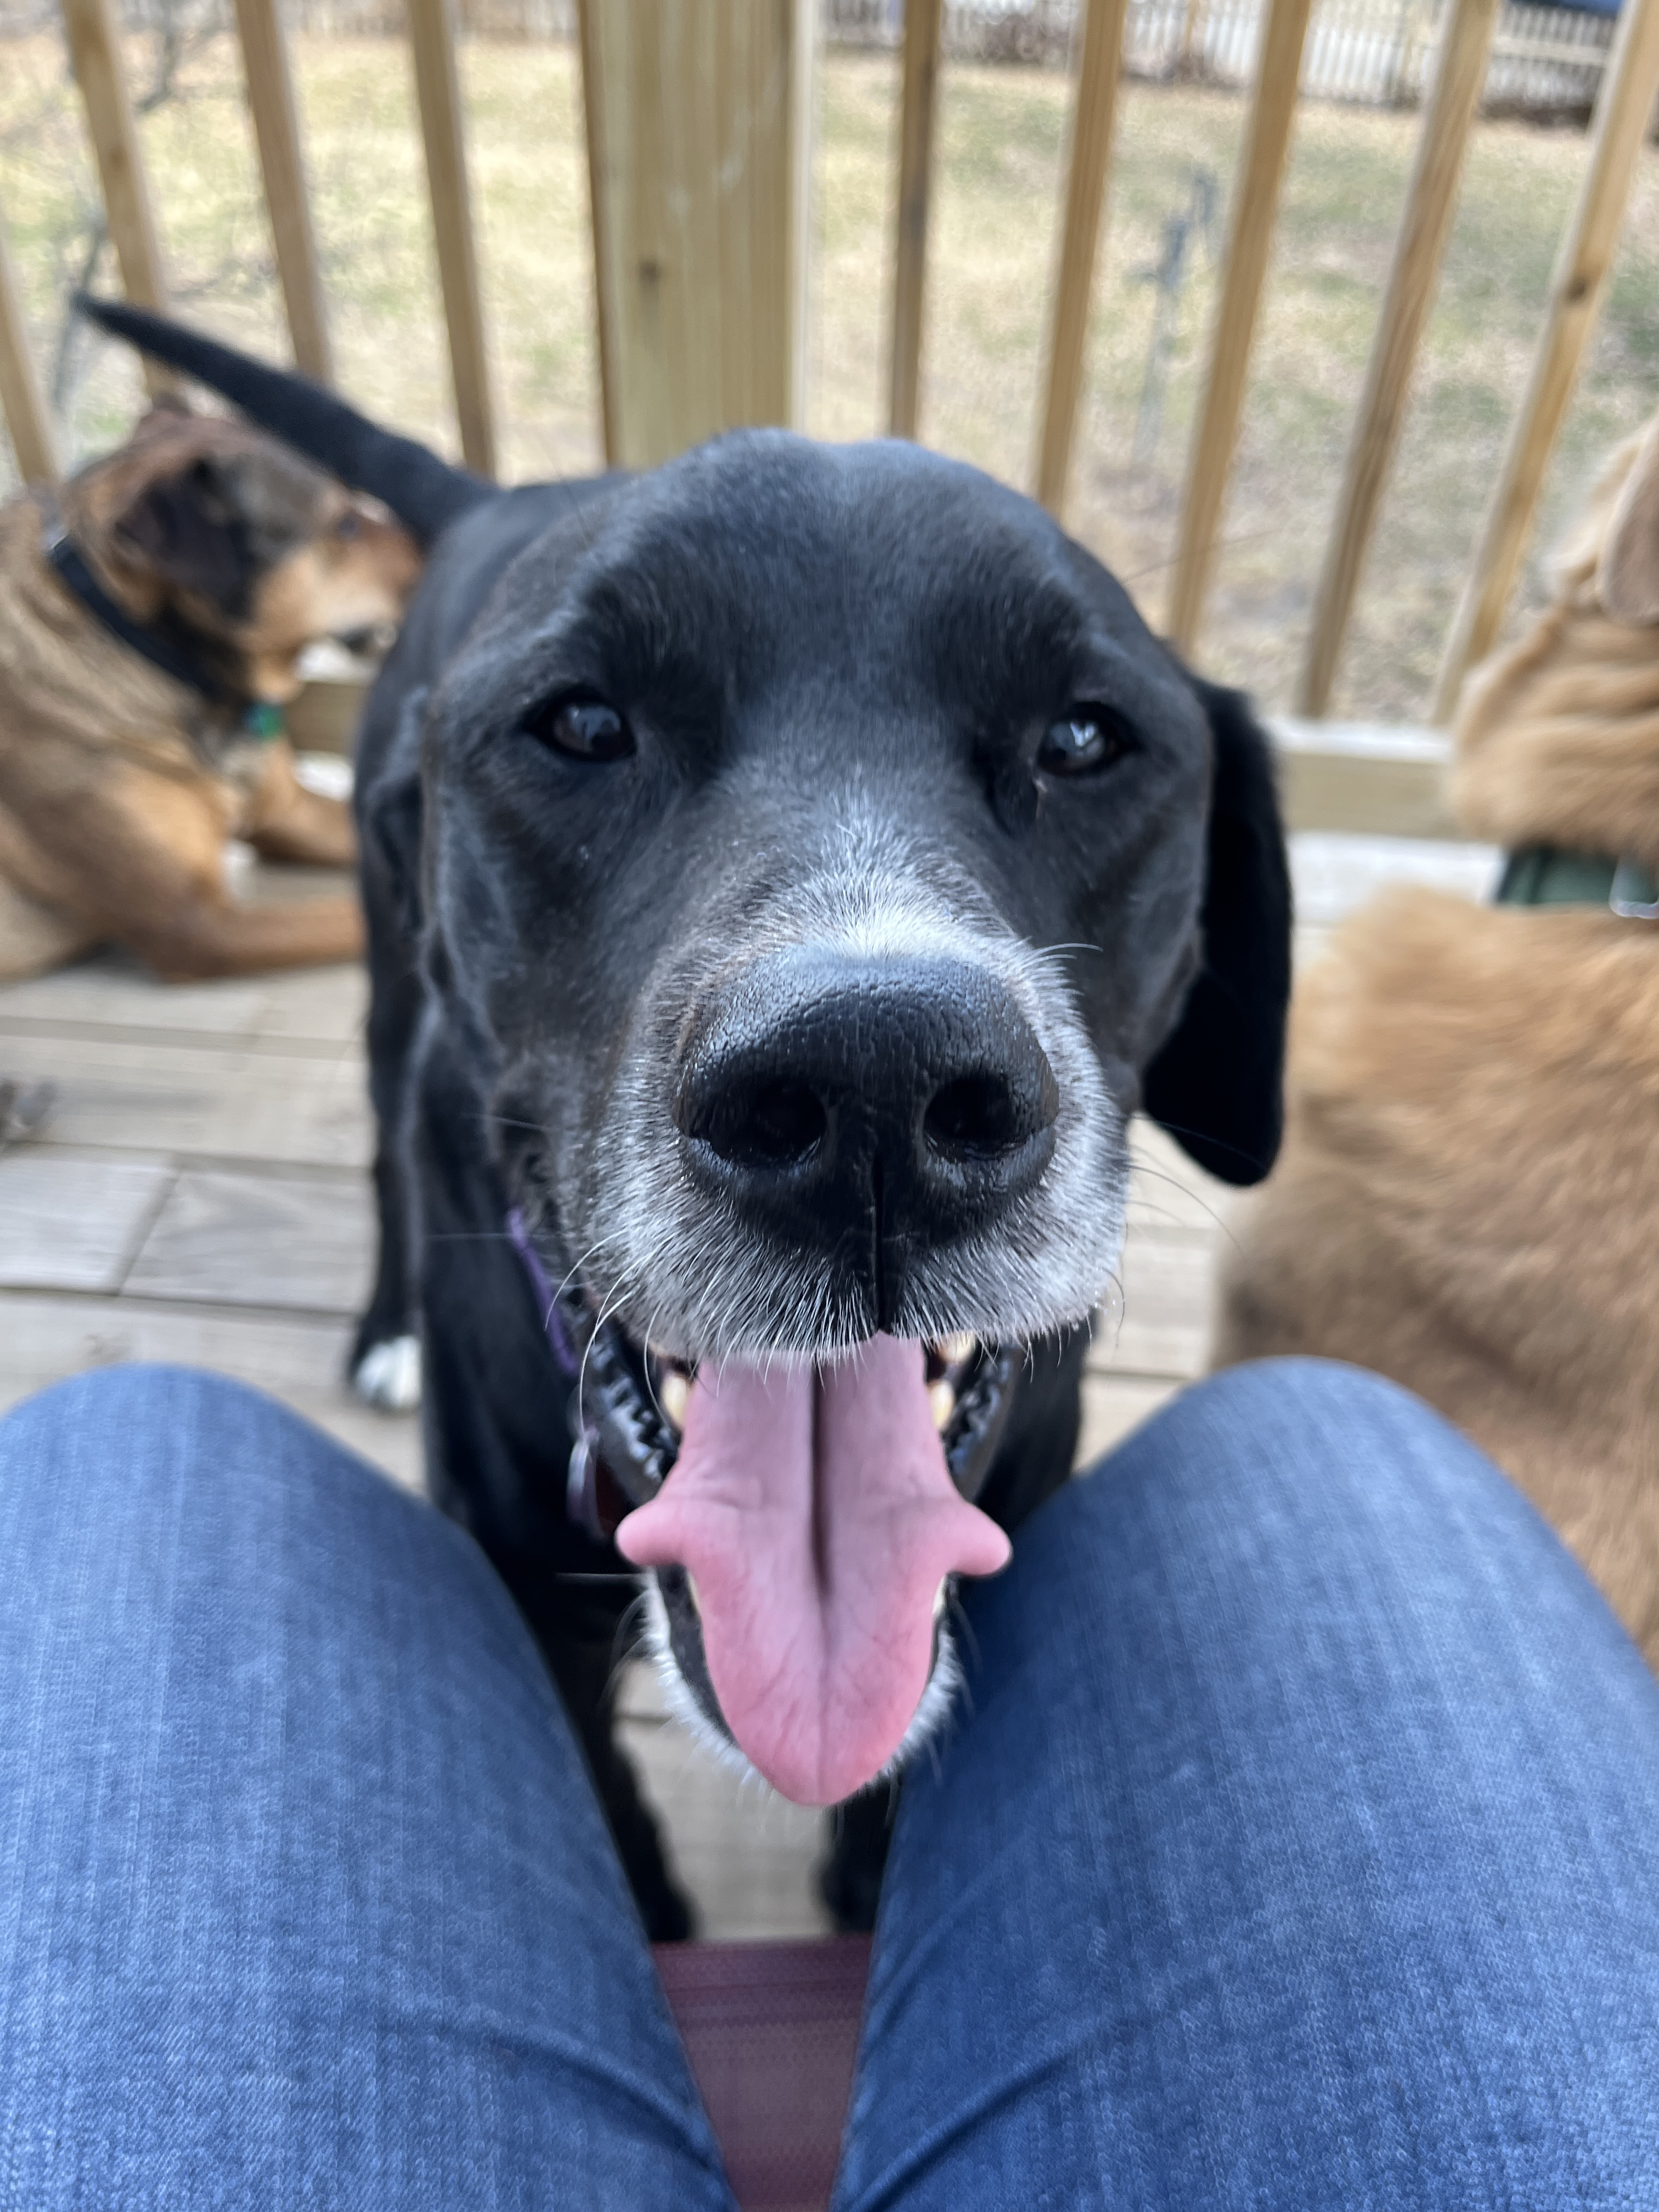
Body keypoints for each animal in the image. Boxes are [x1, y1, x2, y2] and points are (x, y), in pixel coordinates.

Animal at [86, 299, 1292, 1938]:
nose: (873, 1091)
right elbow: (598, 1803)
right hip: (392, 996)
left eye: (1086, 742)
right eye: (584, 724)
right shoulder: (518, 1590)